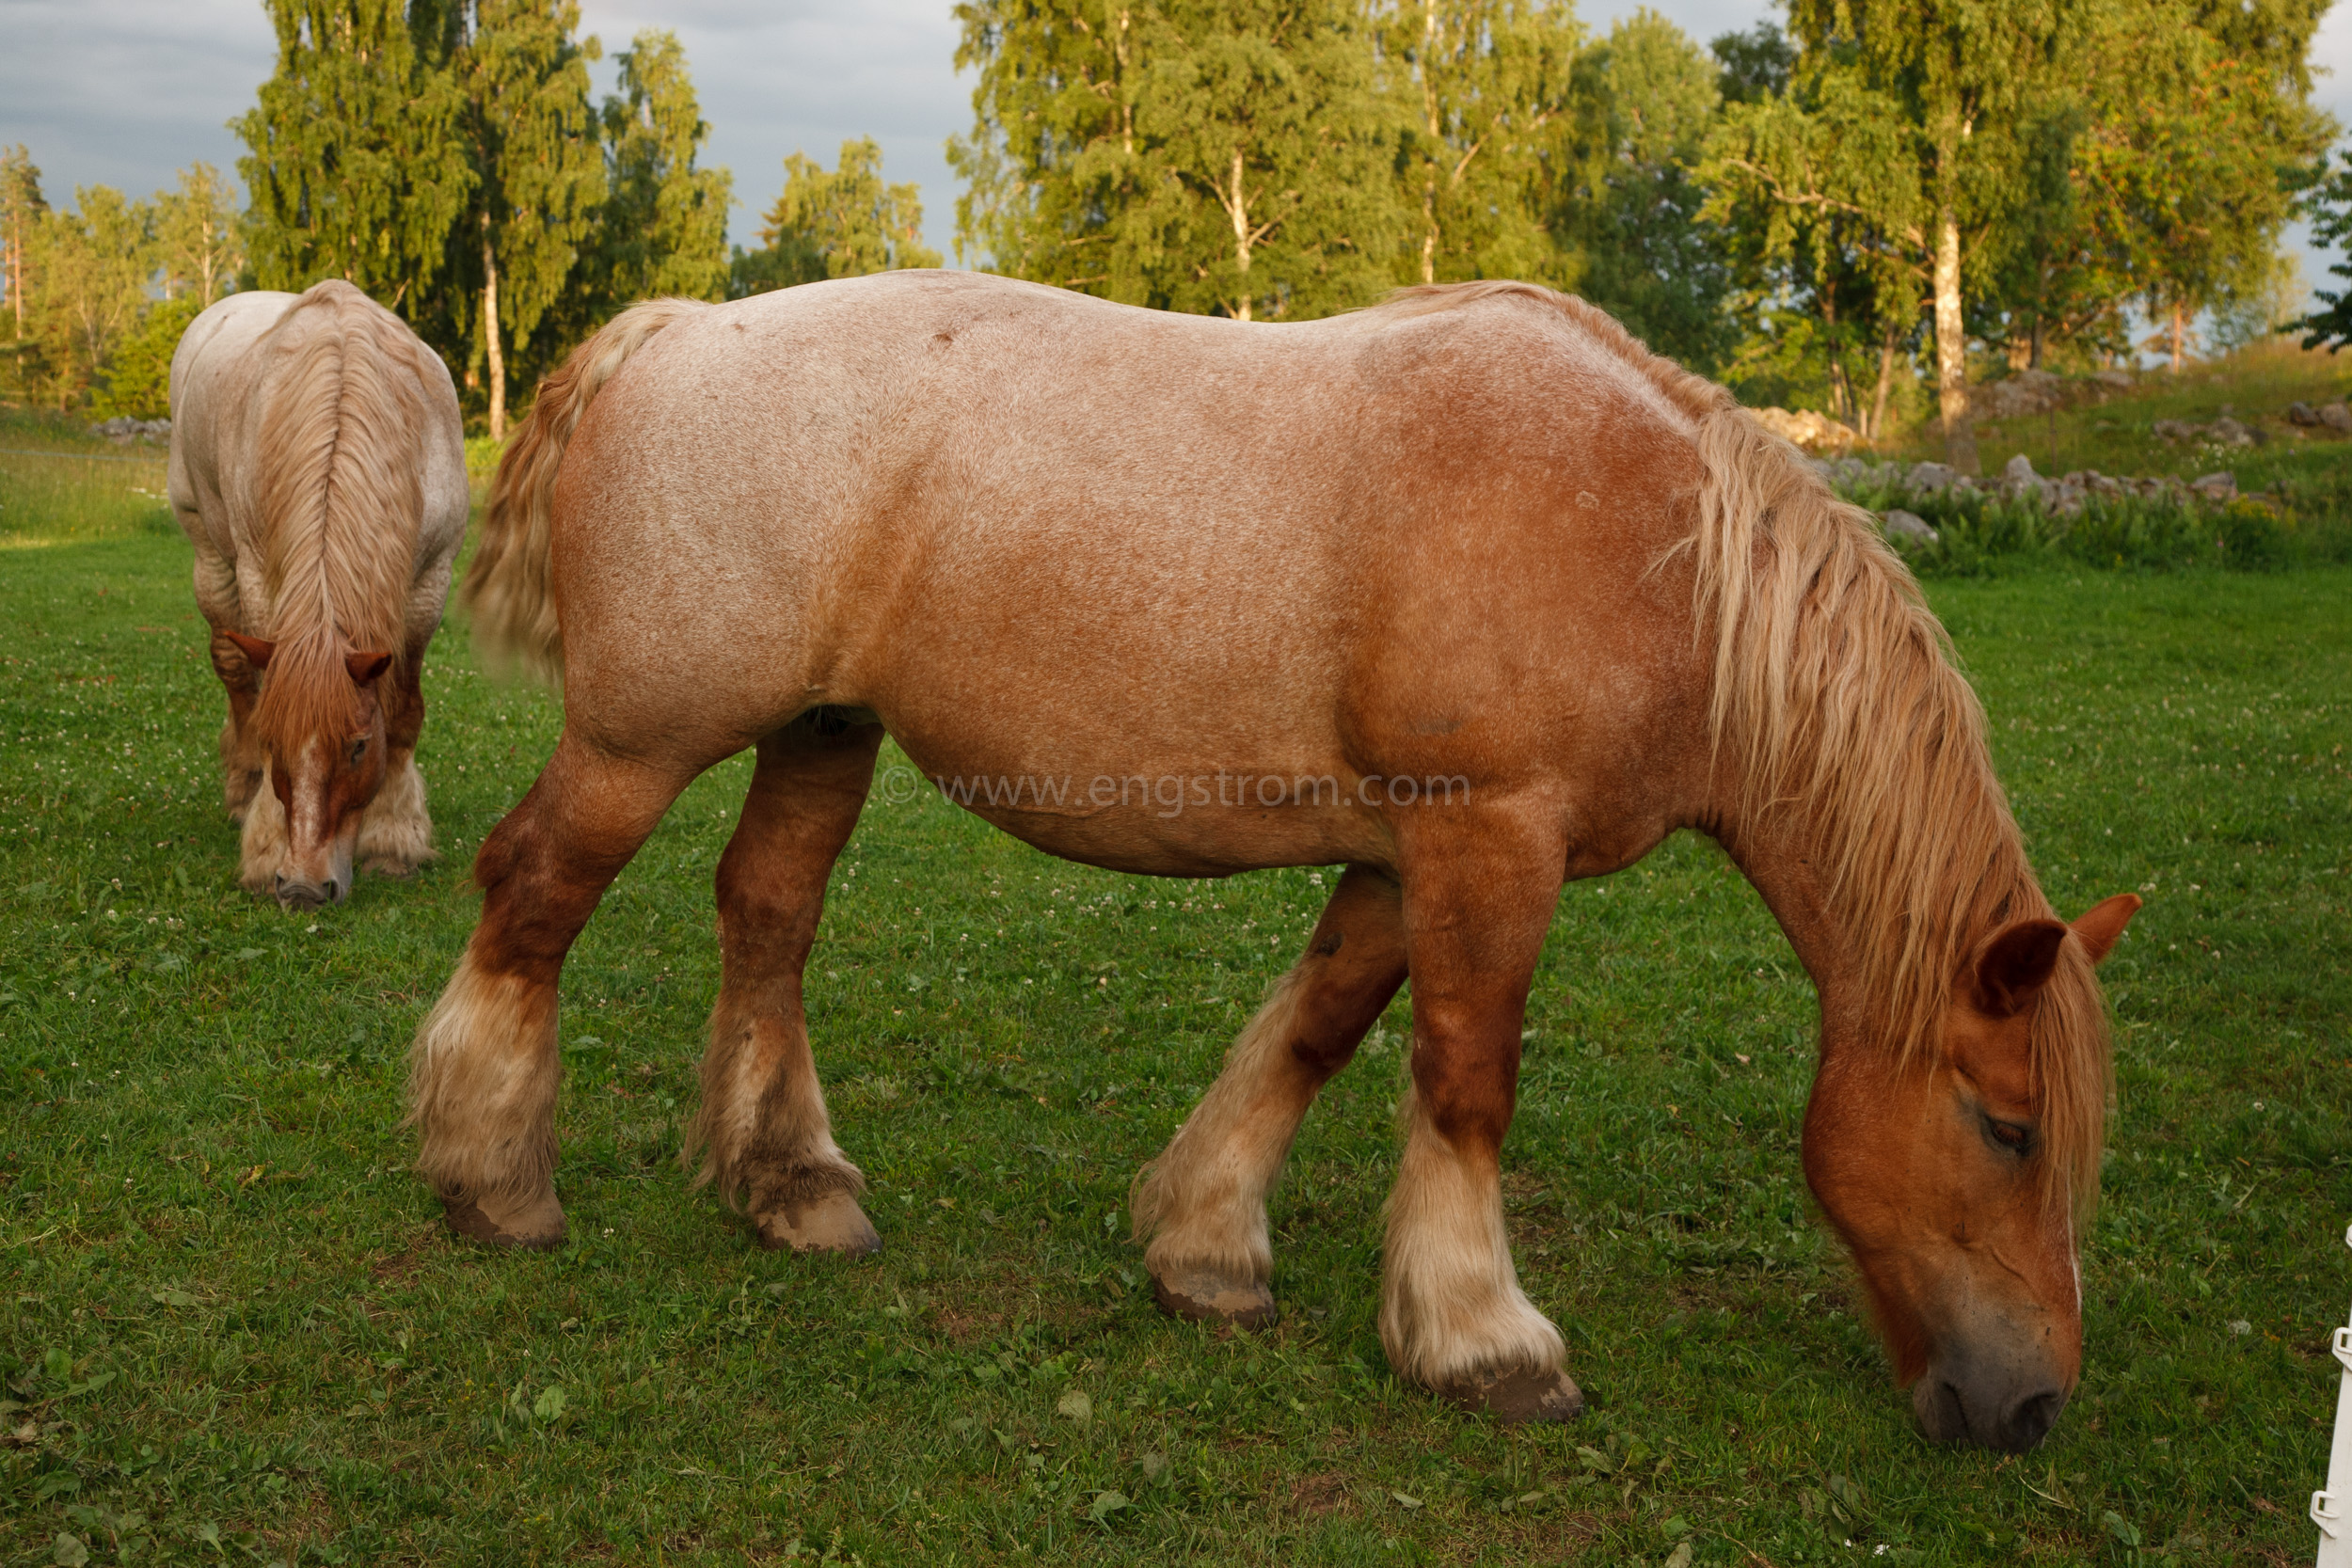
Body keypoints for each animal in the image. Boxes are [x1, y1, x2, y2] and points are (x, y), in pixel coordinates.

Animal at [170, 276, 468, 902]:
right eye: (278, 743)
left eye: (358, 746)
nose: (305, 887)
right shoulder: (260, 577)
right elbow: (264, 691)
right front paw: (265, 845)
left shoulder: (430, 582)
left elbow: (404, 711)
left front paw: (392, 839)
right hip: (211, 560)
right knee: (237, 674)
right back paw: (241, 791)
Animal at [414, 266, 2145, 1448]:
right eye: (2005, 1127)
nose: (2033, 1401)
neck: (1664, 559)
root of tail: (676, 330)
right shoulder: (1488, 841)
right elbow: (1466, 1079)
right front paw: (1482, 1334)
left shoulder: (1400, 858)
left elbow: (1316, 1032)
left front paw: (1204, 1243)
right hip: (639, 744)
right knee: (533, 894)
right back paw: (489, 1177)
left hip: (822, 732)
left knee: (765, 915)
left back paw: (787, 1184)